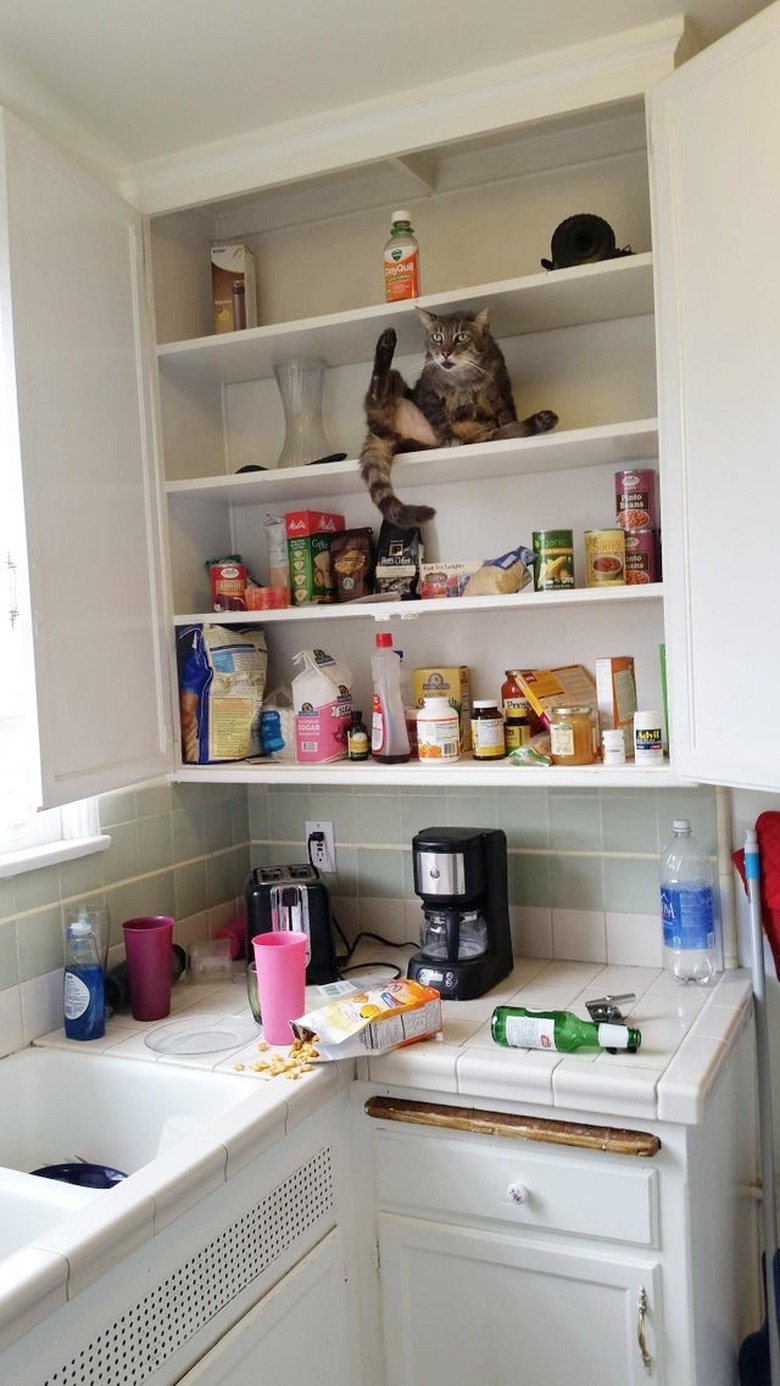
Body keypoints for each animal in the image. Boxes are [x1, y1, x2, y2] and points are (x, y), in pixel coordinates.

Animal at [357, 309, 559, 529]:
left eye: (461, 337)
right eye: (437, 337)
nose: (445, 353)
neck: (464, 378)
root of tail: (379, 432)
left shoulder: (499, 387)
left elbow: (505, 410)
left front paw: (504, 417)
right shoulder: (428, 391)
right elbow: (438, 416)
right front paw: (449, 436)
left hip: (479, 435)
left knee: (507, 432)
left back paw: (541, 420)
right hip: (392, 385)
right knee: (377, 389)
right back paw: (386, 343)